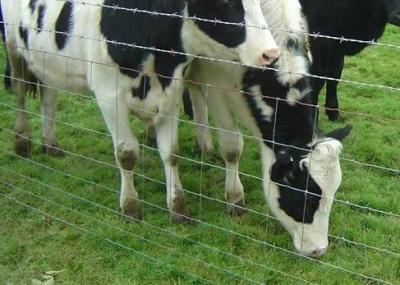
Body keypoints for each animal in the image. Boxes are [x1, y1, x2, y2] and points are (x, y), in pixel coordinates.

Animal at [1, 0, 280, 222]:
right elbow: (126, 154)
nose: (271, 53)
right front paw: (130, 206)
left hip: (46, 59)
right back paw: (22, 141)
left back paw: (50, 143)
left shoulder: (171, 91)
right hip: (13, 47)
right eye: (225, 1)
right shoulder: (108, 96)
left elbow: (171, 153)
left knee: (49, 97)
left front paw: (177, 206)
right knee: (20, 91)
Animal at [184, 0, 350, 256]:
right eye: (302, 197)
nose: (319, 250)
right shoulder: (217, 85)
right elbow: (232, 148)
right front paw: (235, 198)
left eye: (333, 194)